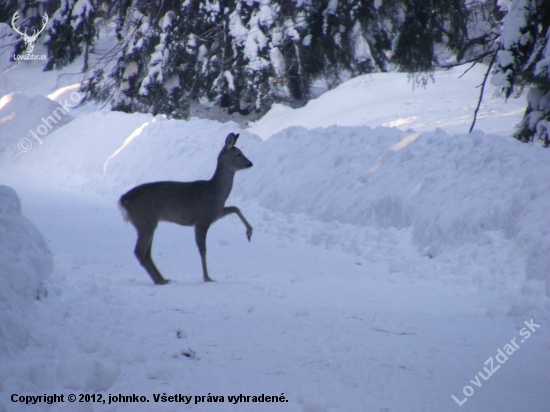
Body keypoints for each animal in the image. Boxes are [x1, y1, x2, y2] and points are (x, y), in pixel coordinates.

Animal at [118, 134, 254, 284]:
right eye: (238, 154)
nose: (250, 163)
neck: (215, 193)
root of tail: (123, 200)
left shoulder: (216, 213)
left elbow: (236, 208)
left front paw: (249, 232)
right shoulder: (202, 220)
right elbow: (203, 250)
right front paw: (207, 278)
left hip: (148, 222)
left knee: (146, 252)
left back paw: (162, 279)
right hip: (145, 220)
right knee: (139, 251)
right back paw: (160, 280)